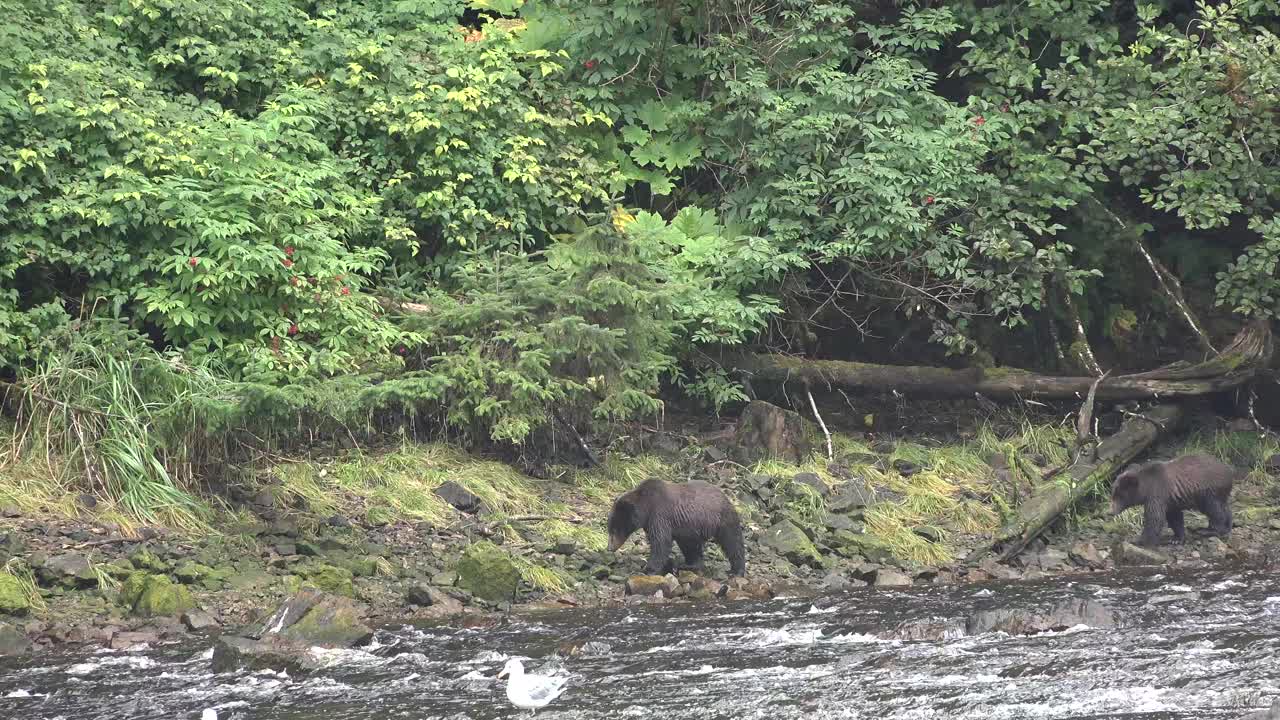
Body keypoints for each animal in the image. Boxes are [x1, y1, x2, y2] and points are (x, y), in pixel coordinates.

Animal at [604, 479, 747, 573]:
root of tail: (724, 495)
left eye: (615, 530)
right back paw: (690, 564)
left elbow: (660, 542)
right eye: (609, 529)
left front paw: (649, 568)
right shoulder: (651, 523)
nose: (609, 548)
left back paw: (737, 570)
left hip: (722, 518)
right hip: (691, 527)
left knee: (732, 541)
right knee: (691, 547)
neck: (646, 509)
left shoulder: (659, 516)